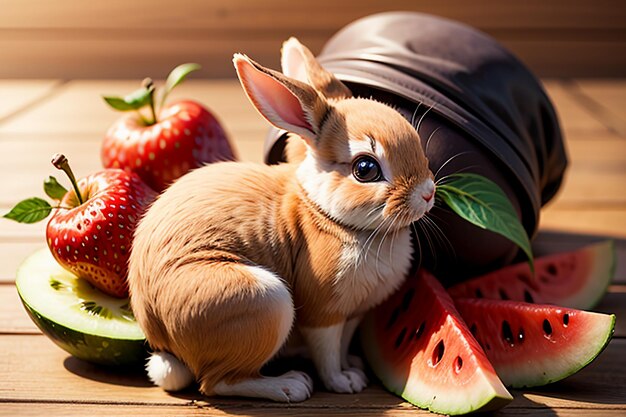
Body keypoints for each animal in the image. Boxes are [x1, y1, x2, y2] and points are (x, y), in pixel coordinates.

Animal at [128, 37, 434, 402]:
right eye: (365, 169)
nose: (428, 193)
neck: (328, 215)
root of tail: (162, 337)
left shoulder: (354, 314)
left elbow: (344, 345)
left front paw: (353, 368)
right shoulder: (323, 311)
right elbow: (328, 352)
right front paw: (342, 383)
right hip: (262, 301)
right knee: (216, 382)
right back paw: (289, 385)